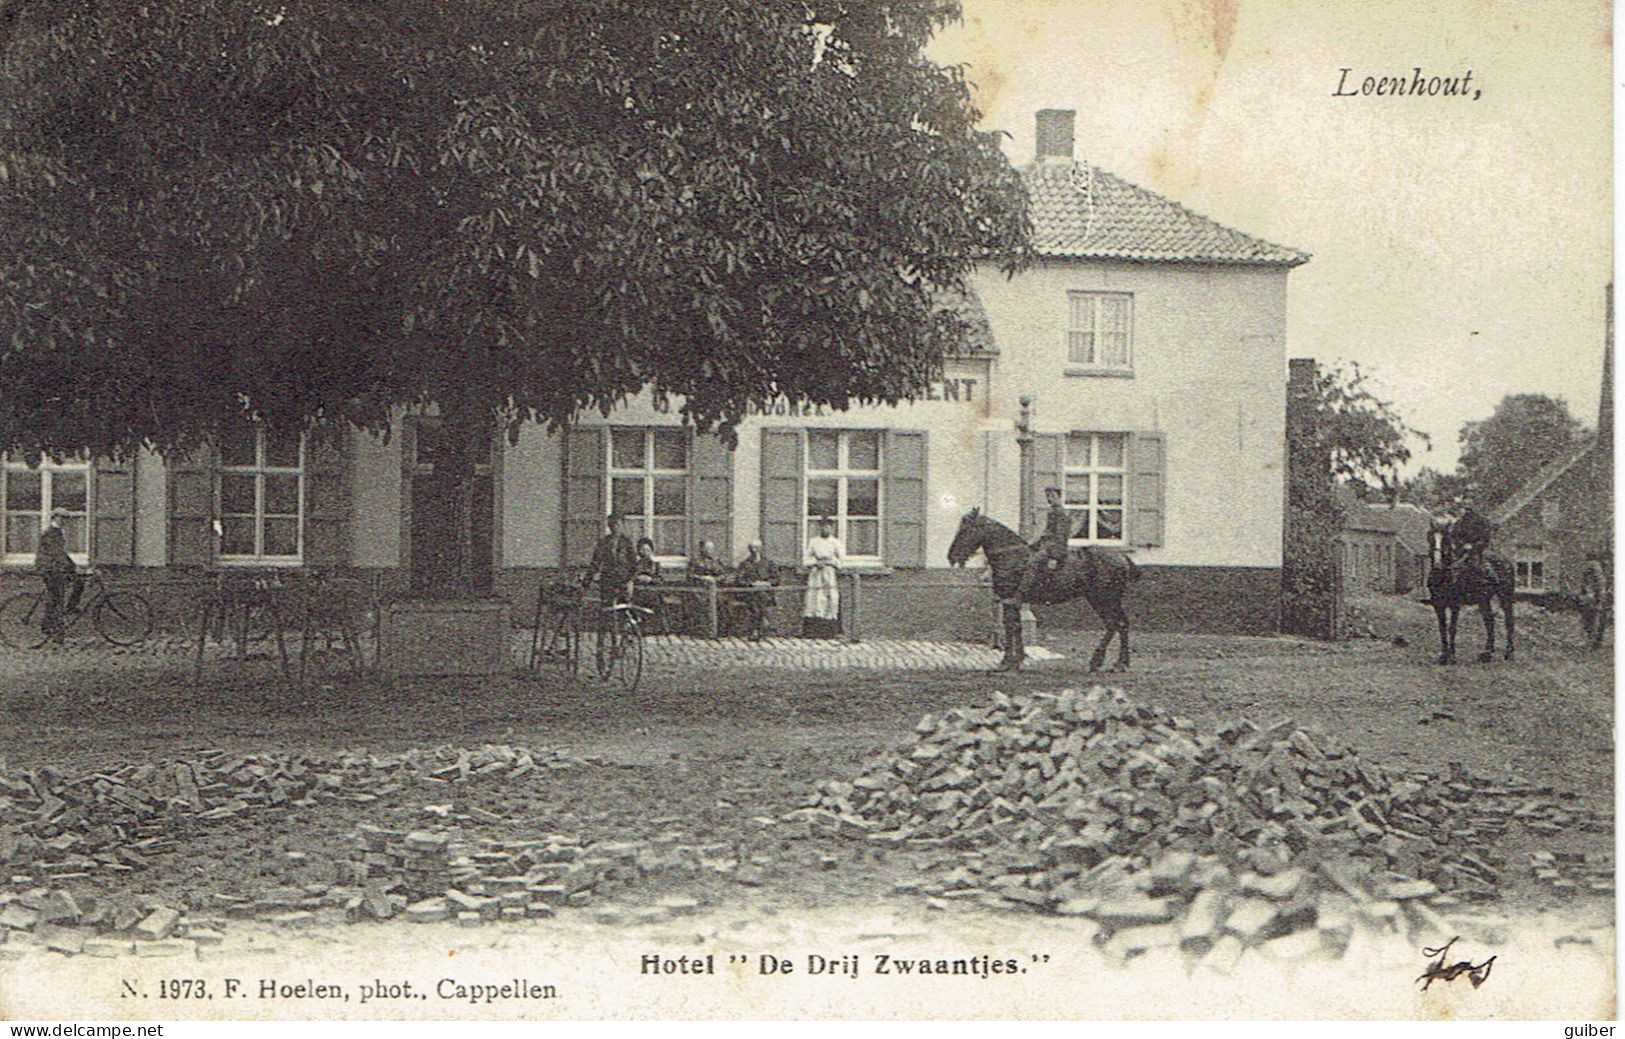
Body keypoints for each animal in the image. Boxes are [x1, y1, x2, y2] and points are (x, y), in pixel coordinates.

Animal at [949, 510, 1137, 676]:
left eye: (966, 529)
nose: (952, 557)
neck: (1012, 556)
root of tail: (1121, 557)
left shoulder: (1009, 599)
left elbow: (1011, 626)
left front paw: (1007, 662)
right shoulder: (1012, 602)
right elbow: (1016, 626)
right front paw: (1018, 659)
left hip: (1104, 599)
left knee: (1114, 624)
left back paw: (1099, 661)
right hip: (1104, 600)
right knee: (1121, 624)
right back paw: (1120, 663)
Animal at [1430, 526, 1514, 666]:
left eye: (1445, 541)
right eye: (1430, 538)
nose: (1437, 564)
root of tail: (1505, 560)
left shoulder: (1455, 605)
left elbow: (1452, 628)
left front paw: (1452, 657)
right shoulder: (1438, 605)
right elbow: (1442, 628)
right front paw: (1443, 657)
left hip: (1505, 596)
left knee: (1509, 621)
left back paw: (1509, 653)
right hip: (1484, 599)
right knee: (1489, 620)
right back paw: (1487, 653)